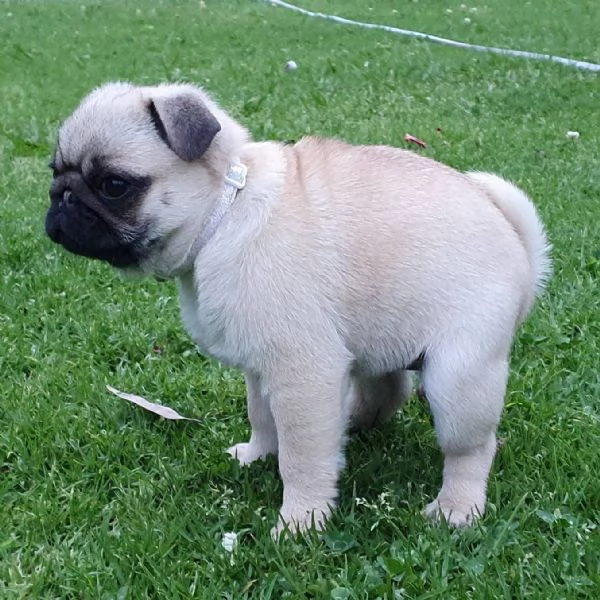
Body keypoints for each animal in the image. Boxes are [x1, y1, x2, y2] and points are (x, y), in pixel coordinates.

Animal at [45, 82, 552, 536]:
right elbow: (262, 417)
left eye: (114, 185)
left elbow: (302, 456)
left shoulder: (302, 372)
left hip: (460, 378)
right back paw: (352, 423)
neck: (227, 210)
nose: (61, 198)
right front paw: (257, 456)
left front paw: (301, 521)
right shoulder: (260, 366)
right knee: (388, 390)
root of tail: (519, 245)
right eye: (55, 171)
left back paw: (456, 507)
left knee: (471, 448)